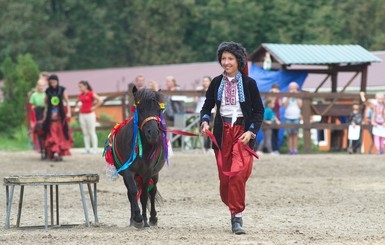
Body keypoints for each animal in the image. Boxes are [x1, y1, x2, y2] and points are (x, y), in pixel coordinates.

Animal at [109, 86, 167, 228]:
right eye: (140, 109)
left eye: (159, 109)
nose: (153, 133)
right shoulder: (128, 172)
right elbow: (133, 193)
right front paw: (137, 218)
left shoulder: (147, 172)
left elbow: (144, 195)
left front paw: (144, 219)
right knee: (131, 194)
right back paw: (133, 220)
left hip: (154, 174)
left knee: (152, 192)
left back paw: (152, 218)